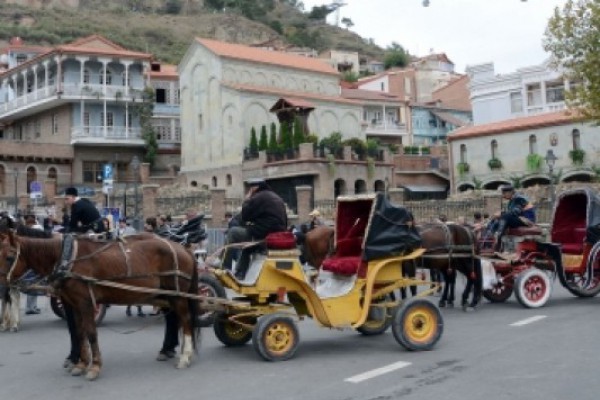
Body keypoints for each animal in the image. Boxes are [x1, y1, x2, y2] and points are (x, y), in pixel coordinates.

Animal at [0, 225, 202, 378]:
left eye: (9, 257)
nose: (2, 285)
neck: (67, 257)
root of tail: (184, 248)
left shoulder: (85, 303)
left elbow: (90, 333)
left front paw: (95, 366)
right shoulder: (74, 304)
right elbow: (79, 332)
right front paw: (81, 364)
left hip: (178, 296)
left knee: (185, 320)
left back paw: (185, 356)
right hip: (166, 295)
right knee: (173, 320)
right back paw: (169, 350)